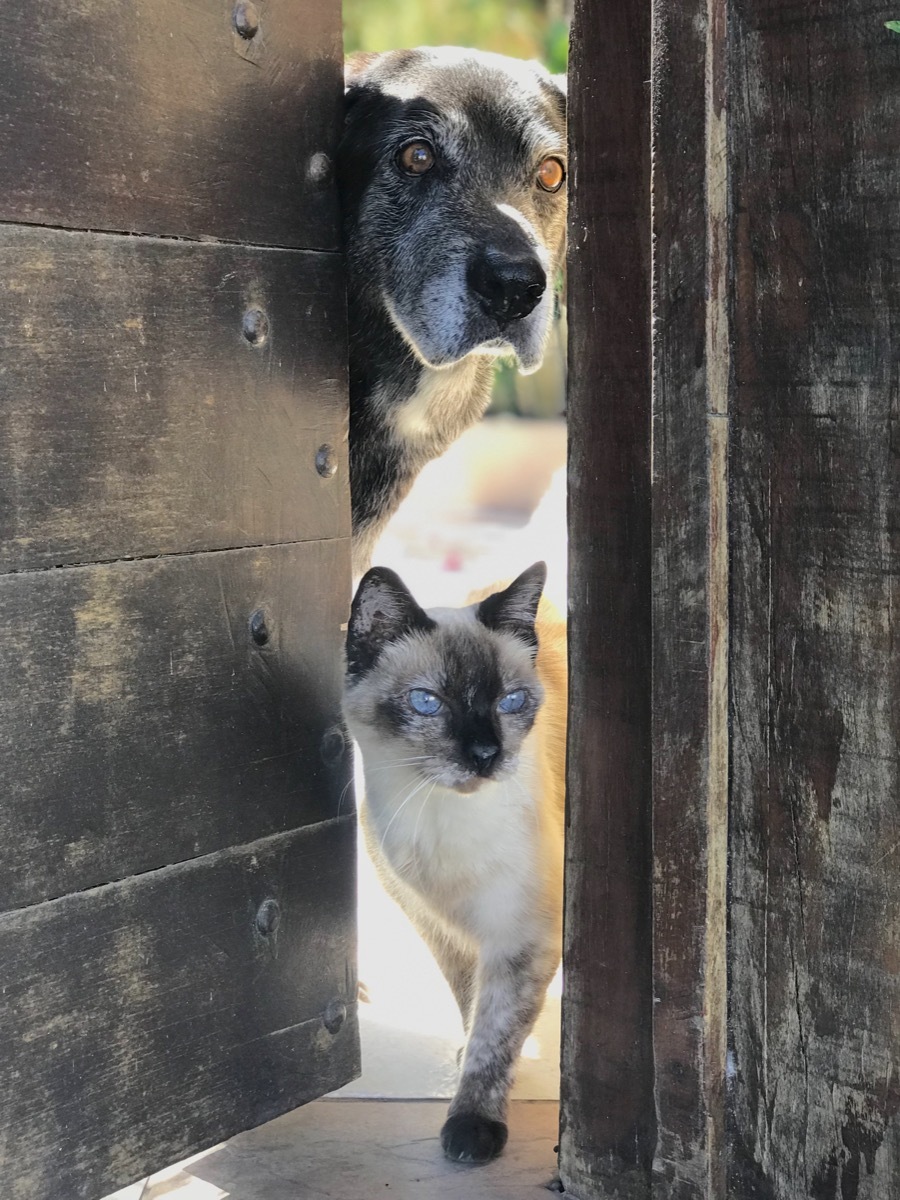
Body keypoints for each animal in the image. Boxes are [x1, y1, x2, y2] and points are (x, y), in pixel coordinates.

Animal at [340, 561, 566, 1161]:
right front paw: (466, 1063)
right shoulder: (441, 926)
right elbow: (471, 1007)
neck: (446, 821)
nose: (486, 755)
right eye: (428, 702)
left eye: (511, 702)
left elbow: (496, 1033)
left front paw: (473, 1127)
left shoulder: (522, 938)